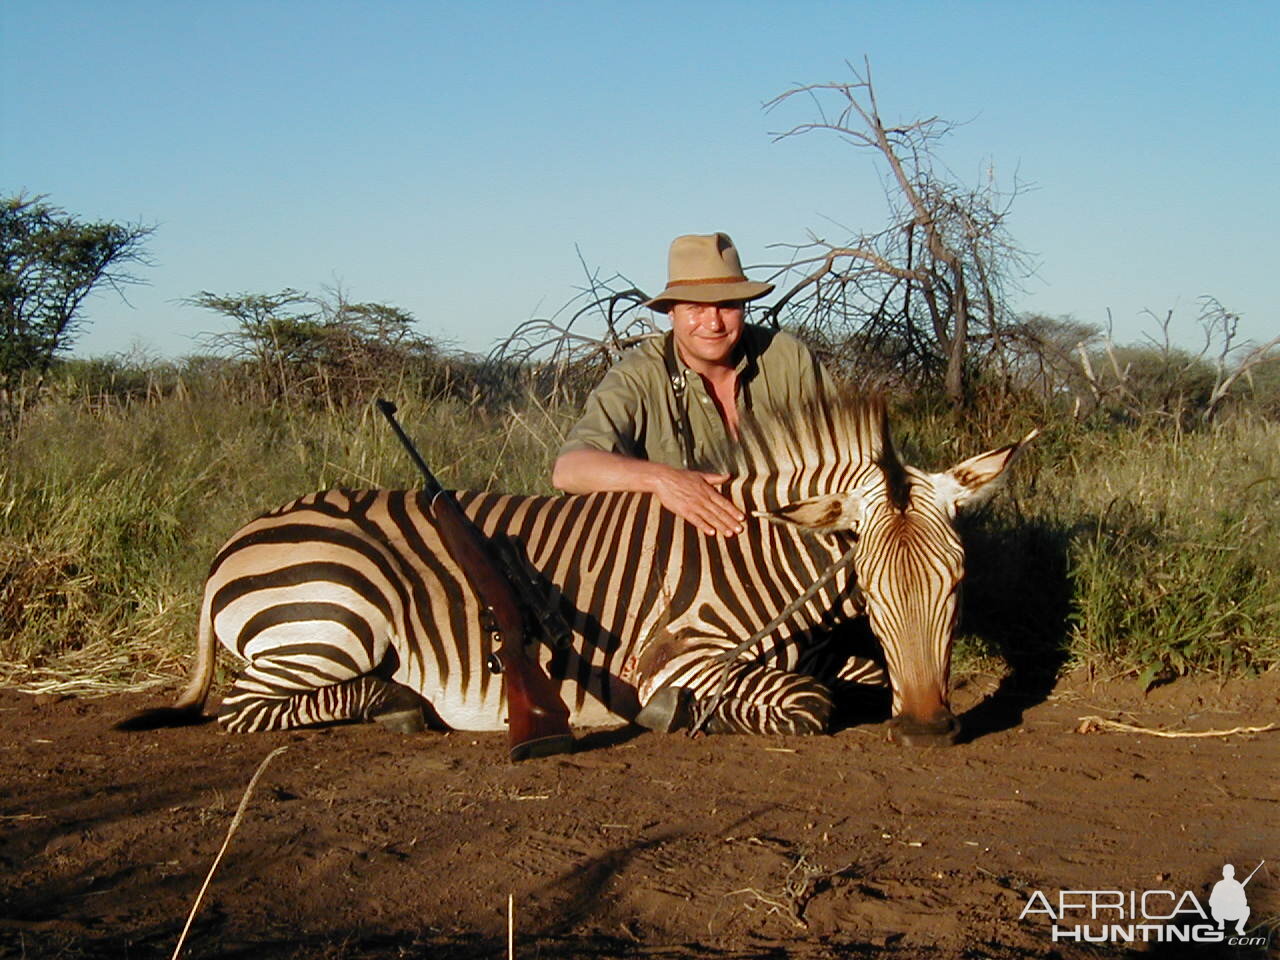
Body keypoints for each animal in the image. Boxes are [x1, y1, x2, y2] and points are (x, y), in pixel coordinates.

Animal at [127, 394, 1029, 747]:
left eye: (956, 587)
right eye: (868, 587)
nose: (928, 729)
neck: (759, 555)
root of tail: (236, 543)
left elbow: (851, 677)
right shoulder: (679, 655)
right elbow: (810, 702)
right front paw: (682, 716)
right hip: (338, 618)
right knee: (244, 708)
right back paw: (399, 704)